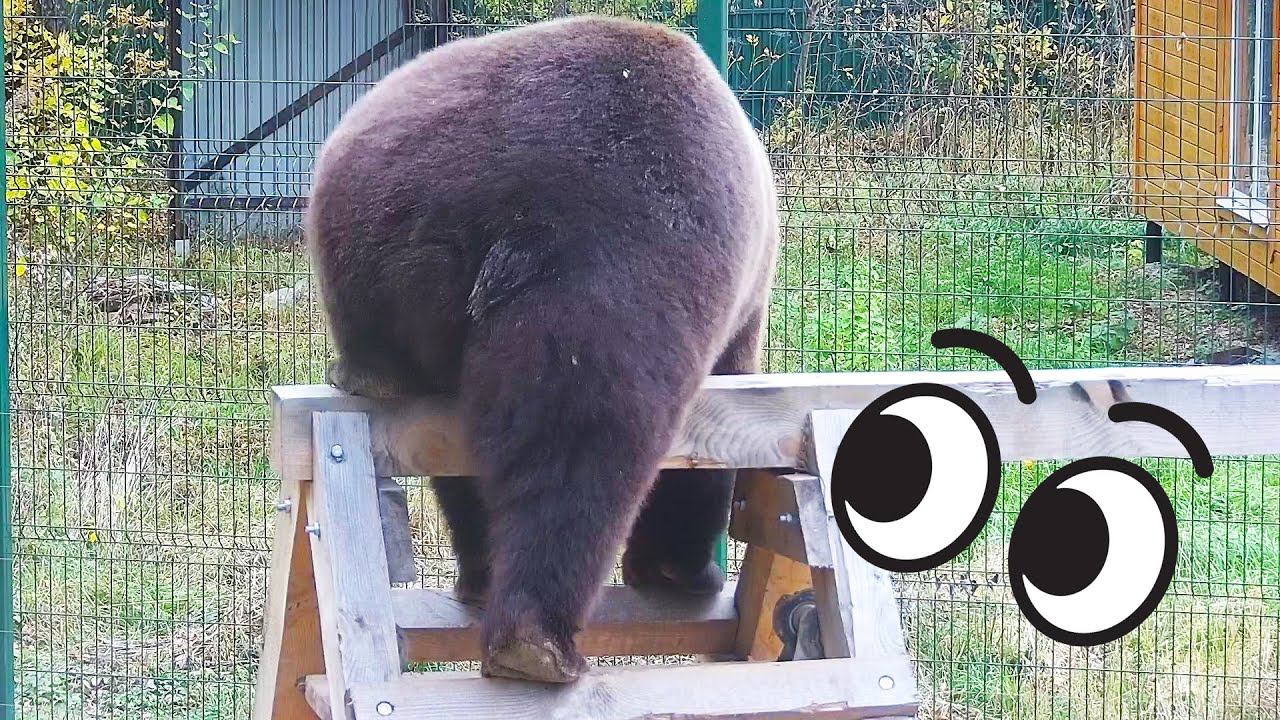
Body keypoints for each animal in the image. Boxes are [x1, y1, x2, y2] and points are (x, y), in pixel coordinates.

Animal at [305, 14, 780, 683]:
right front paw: (684, 566)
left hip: (381, 252)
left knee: (463, 451)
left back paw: (483, 580)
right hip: (614, 246)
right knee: (584, 435)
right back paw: (536, 641)